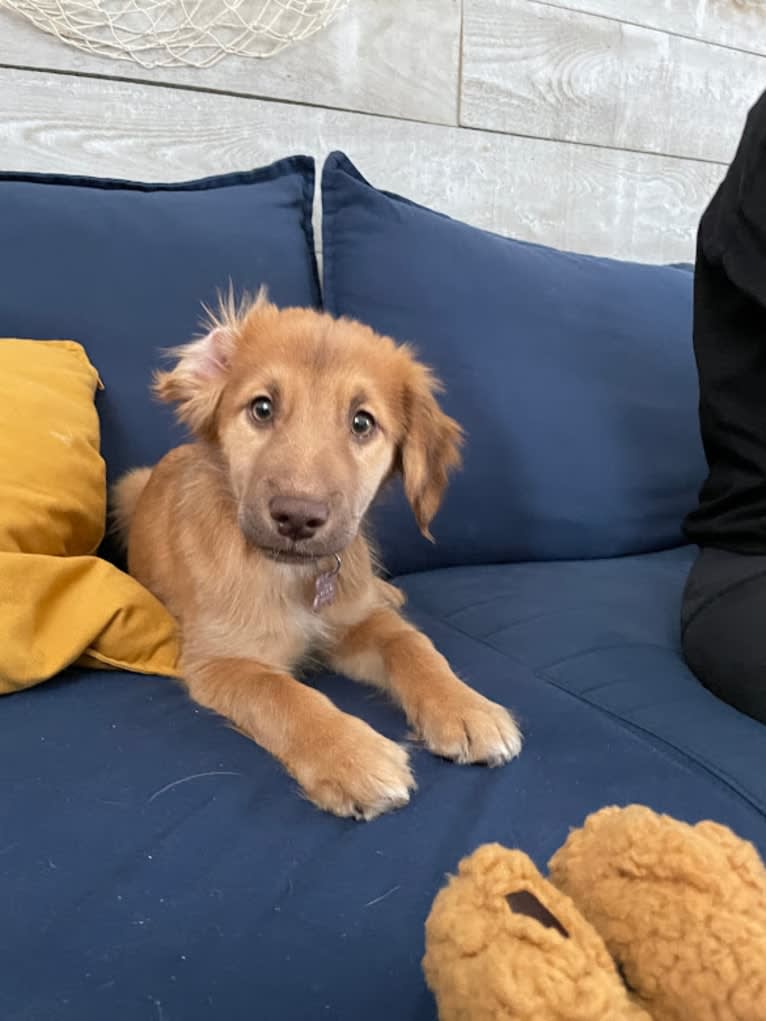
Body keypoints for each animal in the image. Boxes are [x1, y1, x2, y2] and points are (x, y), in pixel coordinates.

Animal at [115, 292, 522, 816]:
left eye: (362, 422)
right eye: (262, 408)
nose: (297, 517)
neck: (293, 576)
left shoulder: (354, 623)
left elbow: (413, 644)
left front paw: (467, 708)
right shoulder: (223, 660)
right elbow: (283, 695)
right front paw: (353, 756)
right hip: (128, 487)